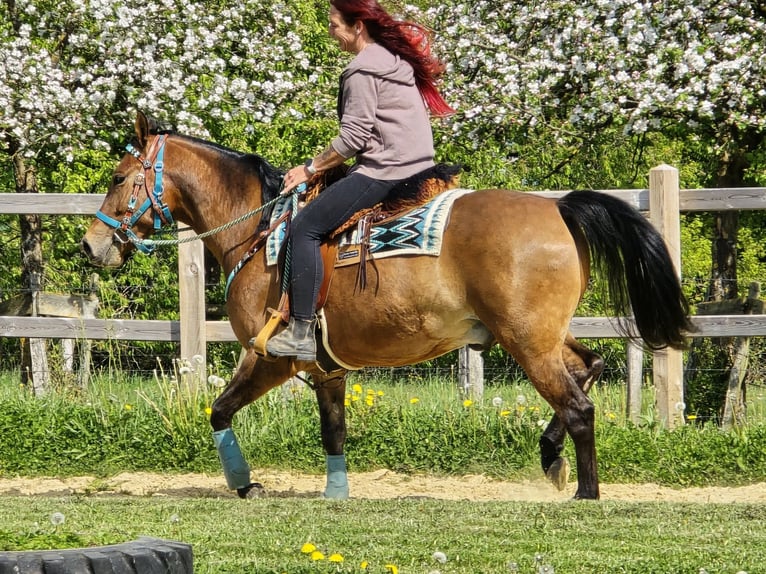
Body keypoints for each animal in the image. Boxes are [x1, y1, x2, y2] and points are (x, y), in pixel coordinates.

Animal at [81, 112, 693, 500]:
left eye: (118, 177)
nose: (91, 245)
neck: (261, 231)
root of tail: (559, 208)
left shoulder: (271, 356)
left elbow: (220, 410)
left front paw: (244, 483)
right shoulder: (325, 368)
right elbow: (333, 431)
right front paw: (336, 492)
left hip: (527, 341)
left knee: (580, 407)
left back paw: (586, 491)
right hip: (544, 335)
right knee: (591, 366)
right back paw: (550, 455)